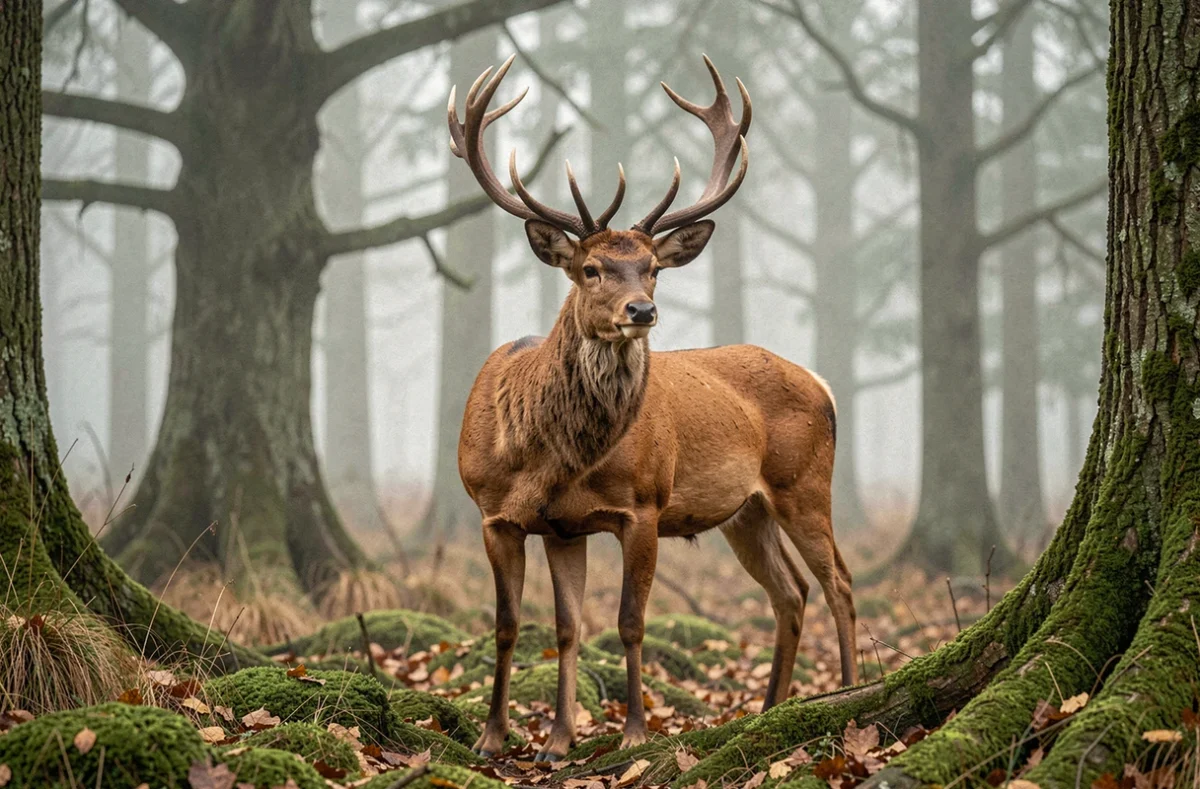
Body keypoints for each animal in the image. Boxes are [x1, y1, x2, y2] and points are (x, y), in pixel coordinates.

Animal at [449, 54, 858, 762]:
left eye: (652, 268)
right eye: (590, 269)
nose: (642, 311)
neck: (538, 456)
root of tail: (820, 382)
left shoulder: (643, 504)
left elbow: (630, 622)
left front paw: (634, 732)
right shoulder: (517, 518)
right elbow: (535, 626)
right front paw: (521, 739)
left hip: (804, 481)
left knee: (842, 585)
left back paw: (856, 693)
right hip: (747, 511)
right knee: (792, 592)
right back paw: (769, 710)